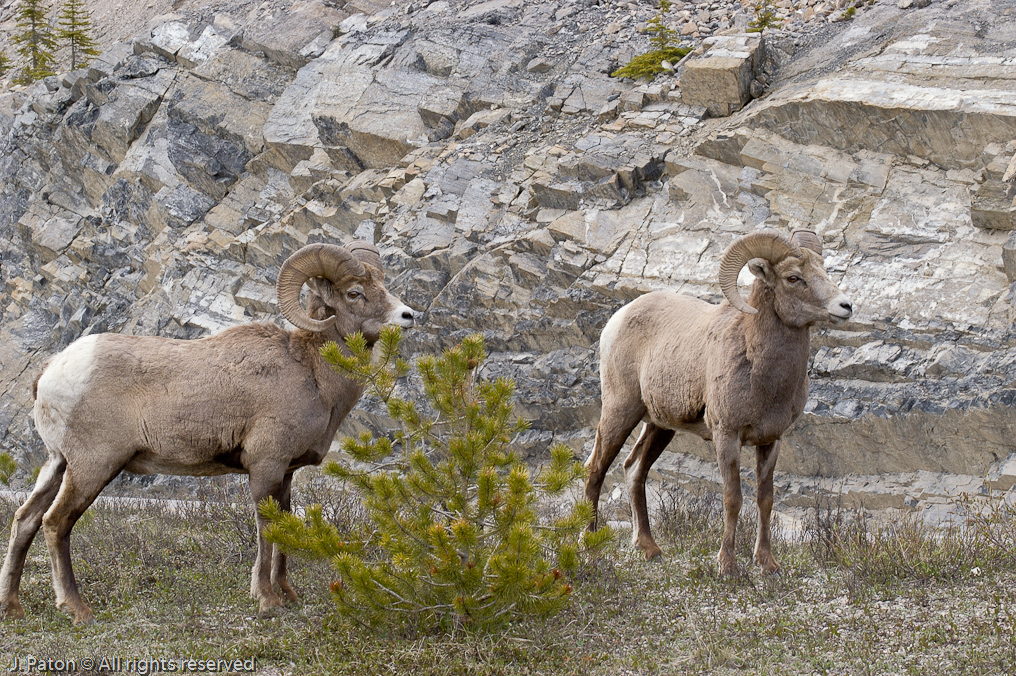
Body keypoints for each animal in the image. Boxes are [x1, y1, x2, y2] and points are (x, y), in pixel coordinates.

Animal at [0, 241, 415, 624]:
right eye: (354, 293)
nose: (408, 316)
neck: (312, 372)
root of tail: (52, 370)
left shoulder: (286, 473)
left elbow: (284, 526)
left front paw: (288, 595)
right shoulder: (265, 466)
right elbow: (266, 529)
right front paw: (267, 601)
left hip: (57, 465)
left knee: (25, 519)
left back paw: (13, 607)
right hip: (92, 467)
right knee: (56, 523)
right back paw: (77, 609)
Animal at [584, 229, 853, 575]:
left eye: (823, 269)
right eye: (793, 277)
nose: (845, 306)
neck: (761, 374)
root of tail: (616, 320)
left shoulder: (772, 441)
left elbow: (765, 499)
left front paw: (767, 564)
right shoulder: (726, 436)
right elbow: (732, 498)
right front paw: (727, 565)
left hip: (660, 426)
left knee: (634, 470)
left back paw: (650, 549)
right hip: (621, 410)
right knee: (596, 469)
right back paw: (589, 545)